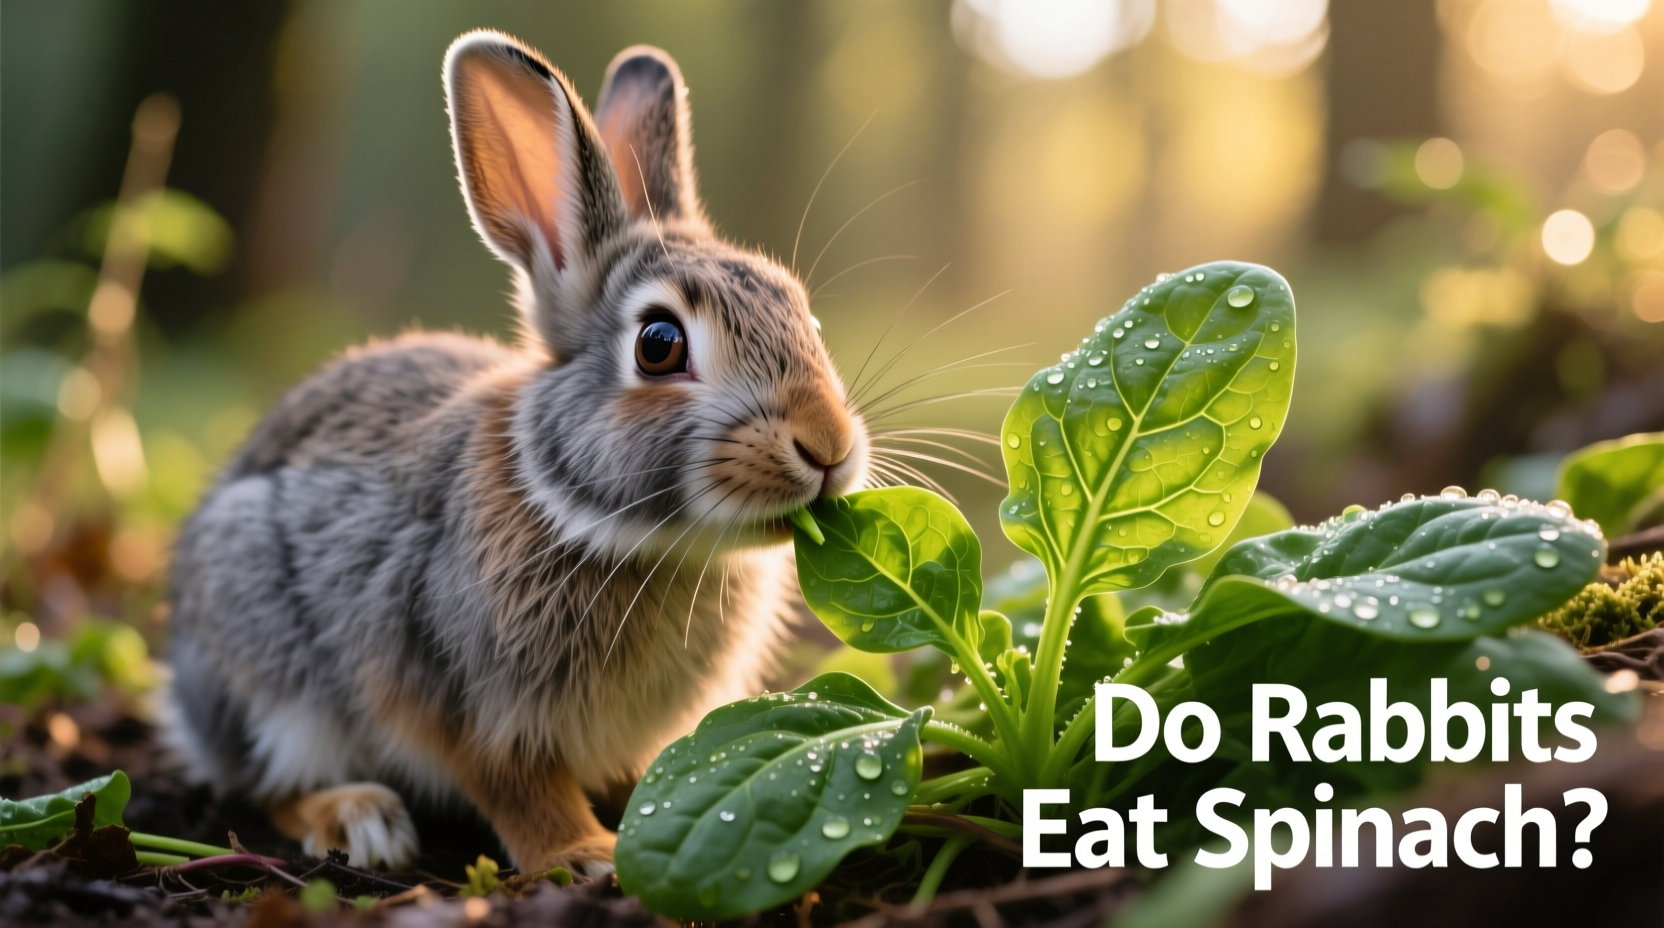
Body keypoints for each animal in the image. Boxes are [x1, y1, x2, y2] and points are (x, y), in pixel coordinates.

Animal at [160, 29, 869, 877]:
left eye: (805, 315)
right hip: (265, 661)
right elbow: (515, 785)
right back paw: (360, 818)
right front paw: (585, 853)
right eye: (659, 344)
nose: (828, 446)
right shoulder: (464, 701)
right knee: (265, 785)